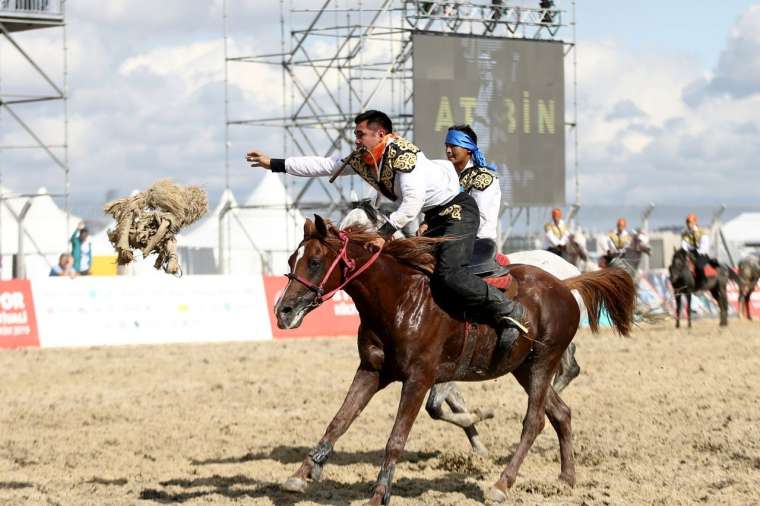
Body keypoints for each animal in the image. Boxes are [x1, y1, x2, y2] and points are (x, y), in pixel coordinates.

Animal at [276, 215, 632, 504]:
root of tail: (565, 284)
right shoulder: (371, 371)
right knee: (561, 413)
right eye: (293, 259)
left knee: (535, 420)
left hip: (545, 360)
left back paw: (502, 484)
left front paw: (379, 494)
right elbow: (338, 421)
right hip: (523, 368)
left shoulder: (419, 379)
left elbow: (396, 439)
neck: (401, 300)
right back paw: (566, 477)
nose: (283, 311)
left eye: (315, 262)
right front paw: (302, 473)